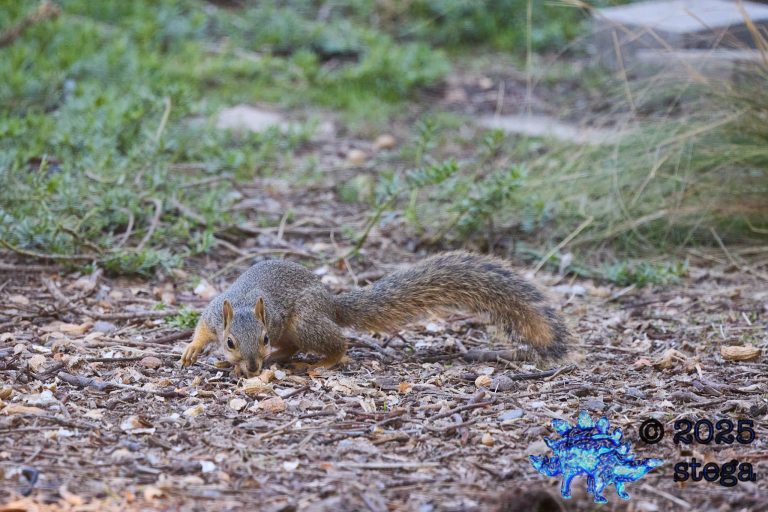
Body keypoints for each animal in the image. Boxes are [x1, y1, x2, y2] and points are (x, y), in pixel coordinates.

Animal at [180, 251, 569, 377]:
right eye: (230, 342)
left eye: (262, 338)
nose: (253, 367)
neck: (246, 304)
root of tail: (331, 302)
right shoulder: (214, 313)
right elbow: (201, 329)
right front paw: (193, 351)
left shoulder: (272, 322)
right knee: (291, 348)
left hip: (304, 322)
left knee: (337, 344)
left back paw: (320, 363)